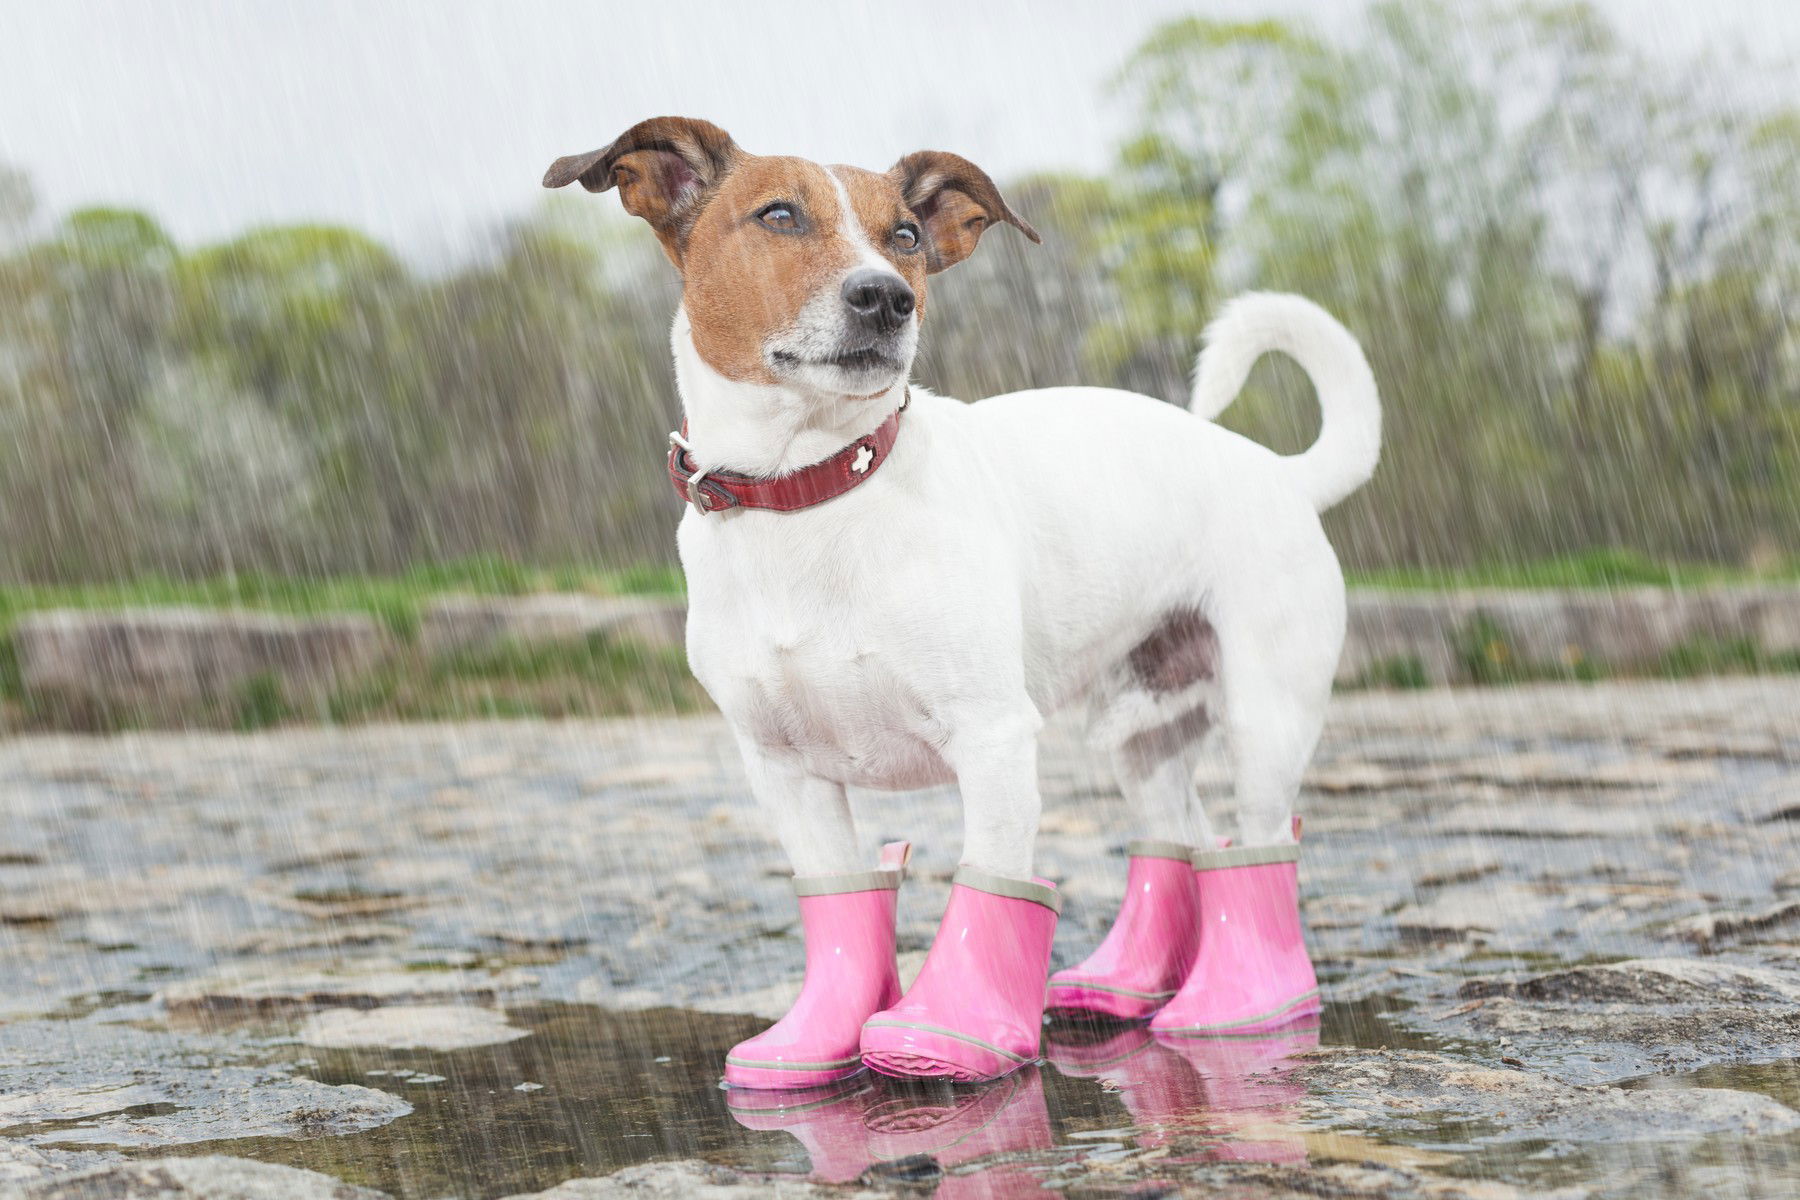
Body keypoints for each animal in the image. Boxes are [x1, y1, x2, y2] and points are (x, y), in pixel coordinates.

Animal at [543, 119, 1375, 1086]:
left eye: (905, 235)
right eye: (779, 215)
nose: (886, 297)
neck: (814, 491)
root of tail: (1280, 473)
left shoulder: (993, 739)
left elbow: (993, 884)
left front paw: (952, 1032)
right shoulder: (784, 771)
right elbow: (839, 902)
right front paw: (817, 1043)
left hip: (1266, 716)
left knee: (1260, 843)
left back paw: (1245, 1006)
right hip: (1139, 727)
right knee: (1178, 836)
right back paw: (1123, 986)